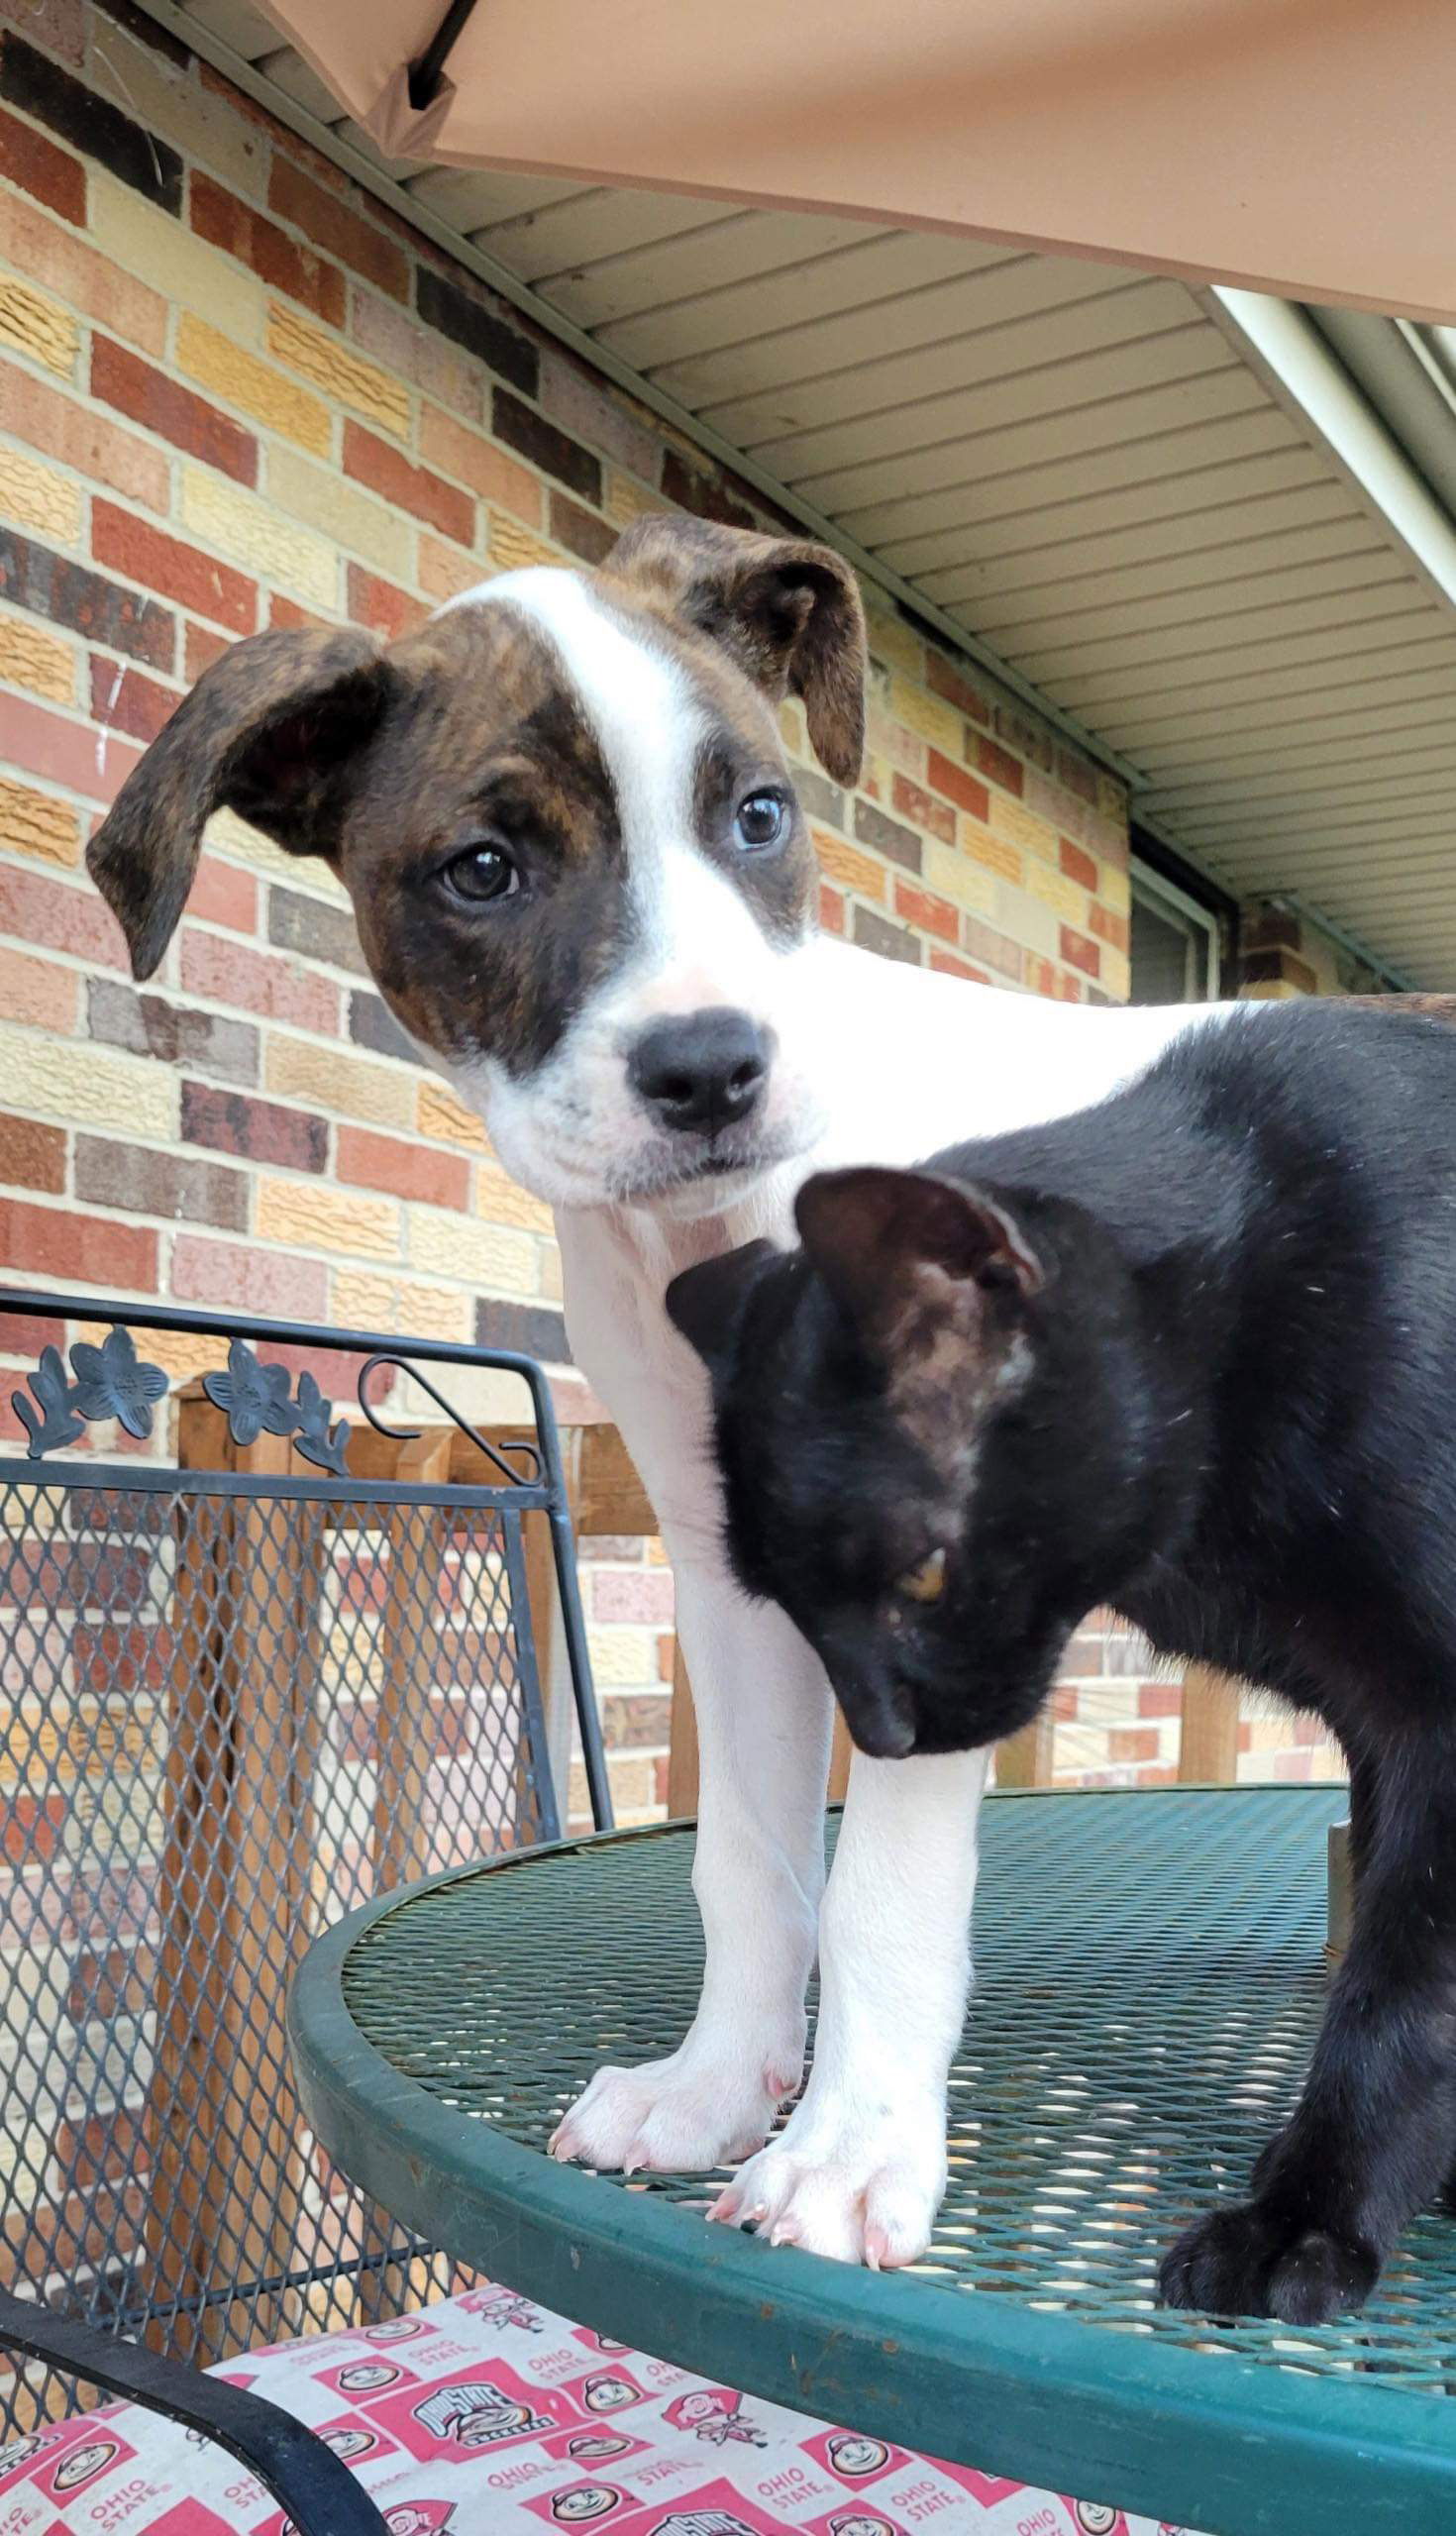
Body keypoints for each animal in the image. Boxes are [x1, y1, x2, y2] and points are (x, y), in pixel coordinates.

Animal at [88, 524, 1232, 2272]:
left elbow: (878, 1889)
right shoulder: (730, 1569)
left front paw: (851, 2148)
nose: (711, 1067)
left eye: (755, 814)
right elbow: (749, 1862)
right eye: (481, 869)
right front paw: (712, 2090)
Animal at [670, 999, 1456, 2322]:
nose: (881, 1732)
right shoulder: (1379, 1732)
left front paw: (1307, 2217)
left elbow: (1401, 1994)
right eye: (788, 1610)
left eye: (921, 1577)